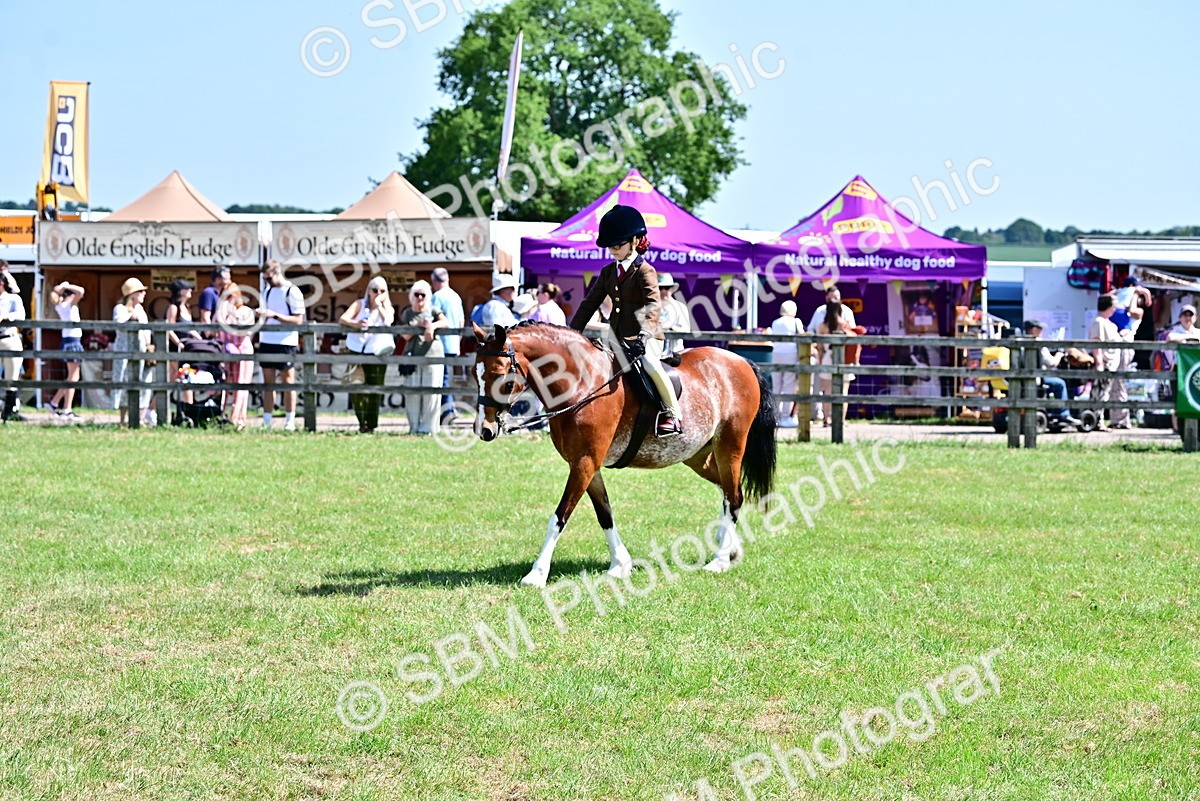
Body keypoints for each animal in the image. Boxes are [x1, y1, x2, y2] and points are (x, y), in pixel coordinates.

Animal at [472, 321, 776, 588]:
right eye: (476, 374)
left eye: (501, 377)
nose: (484, 430)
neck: (582, 383)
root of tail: (740, 361)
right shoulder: (587, 465)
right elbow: (604, 514)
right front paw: (620, 565)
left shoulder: (584, 463)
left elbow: (558, 518)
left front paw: (536, 575)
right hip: (698, 456)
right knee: (729, 491)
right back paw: (731, 549)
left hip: (730, 445)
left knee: (733, 497)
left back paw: (720, 560)